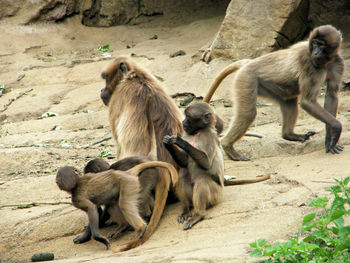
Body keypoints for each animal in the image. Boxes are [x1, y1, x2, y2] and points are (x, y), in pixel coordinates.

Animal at [163, 103, 270, 231]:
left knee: (202, 180)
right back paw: (186, 210)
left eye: (188, 117)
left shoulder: (209, 137)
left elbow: (206, 163)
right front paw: (167, 143)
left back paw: (199, 215)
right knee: (183, 175)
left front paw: (179, 141)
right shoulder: (187, 134)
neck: (197, 133)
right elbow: (184, 162)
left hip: (216, 195)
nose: (183, 122)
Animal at [202, 25, 344, 161]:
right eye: (314, 43)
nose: (315, 52)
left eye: (321, 45)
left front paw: (330, 138)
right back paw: (227, 146)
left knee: (288, 99)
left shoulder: (337, 61)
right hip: (247, 78)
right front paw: (337, 127)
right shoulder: (308, 61)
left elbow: (331, 95)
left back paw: (288, 135)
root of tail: (249, 62)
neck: (325, 62)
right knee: (248, 114)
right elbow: (307, 101)